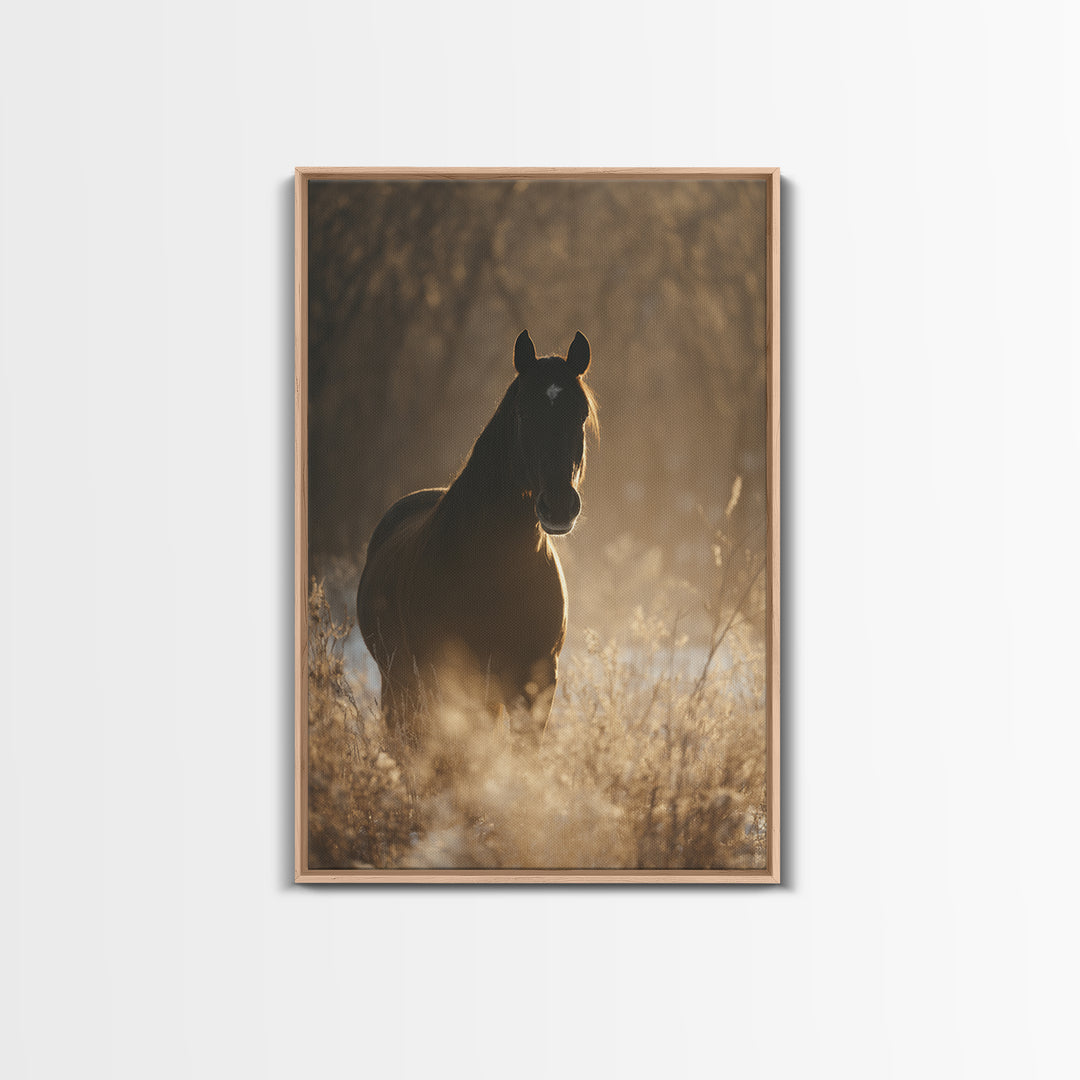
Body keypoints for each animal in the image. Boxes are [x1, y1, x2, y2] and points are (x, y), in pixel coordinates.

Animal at [356, 330, 596, 771]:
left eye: (581, 413)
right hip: (399, 685)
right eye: (522, 412)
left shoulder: (534, 683)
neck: (492, 567)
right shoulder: (445, 683)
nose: (558, 506)